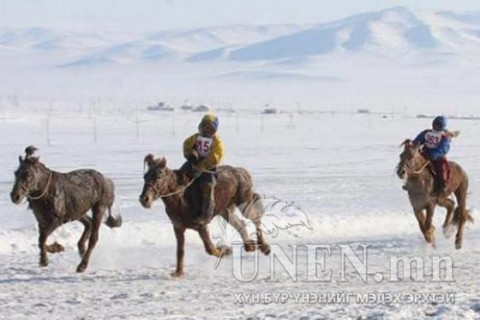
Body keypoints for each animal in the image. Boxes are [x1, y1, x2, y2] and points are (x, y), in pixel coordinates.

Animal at [139, 155, 270, 278]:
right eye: (145, 176)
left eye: (159, 176)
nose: (144, 199)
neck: (181, 197)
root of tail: (241, 171)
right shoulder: (178, 227)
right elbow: (180, 251)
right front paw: (178, 273)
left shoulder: (201, 225)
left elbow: (210, 249)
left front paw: (226, 250)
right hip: (225, 210)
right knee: (240, 223)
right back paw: (249, 245)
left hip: (244, 203)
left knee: (256, 219)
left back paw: (264, 247)